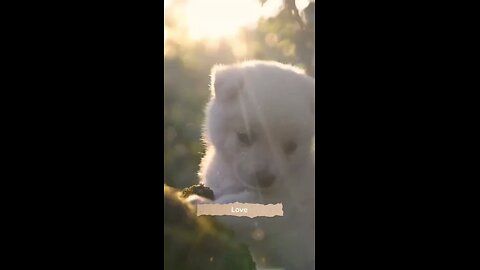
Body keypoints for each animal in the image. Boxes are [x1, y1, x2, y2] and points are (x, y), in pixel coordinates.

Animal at [196, 61, 314, 270]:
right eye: (244, 136)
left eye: (291, 147)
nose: (265, 178)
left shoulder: (285, 207)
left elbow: (240, 209)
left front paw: (199, 202)